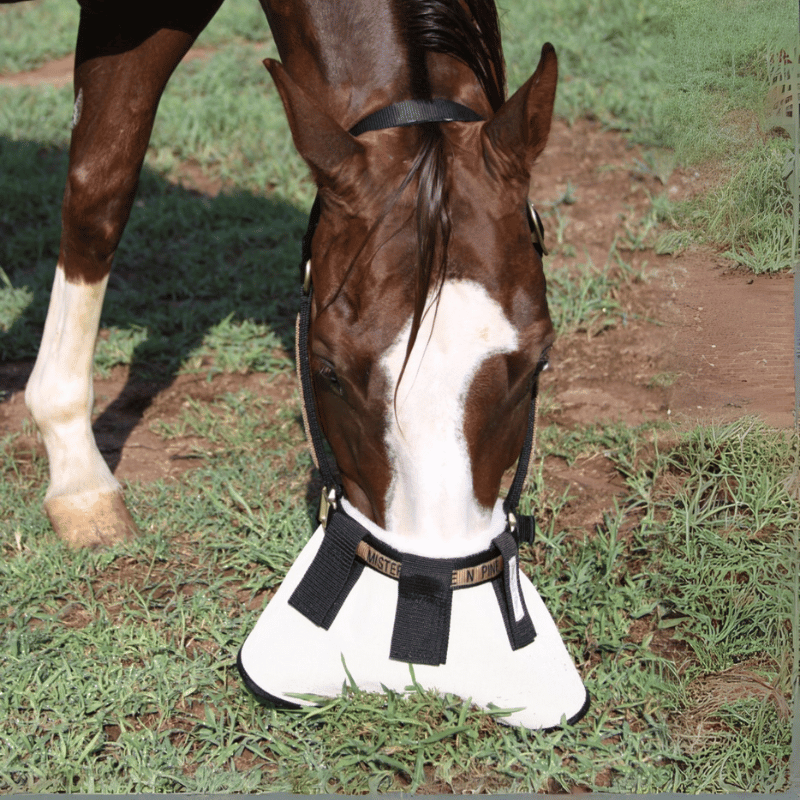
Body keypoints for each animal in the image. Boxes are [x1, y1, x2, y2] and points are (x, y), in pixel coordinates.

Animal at [10, 0, 588, 728]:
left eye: (539, 364)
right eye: (328, 370)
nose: (427, 587)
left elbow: (102, 186)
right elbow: (97, 195)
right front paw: (78, 476)